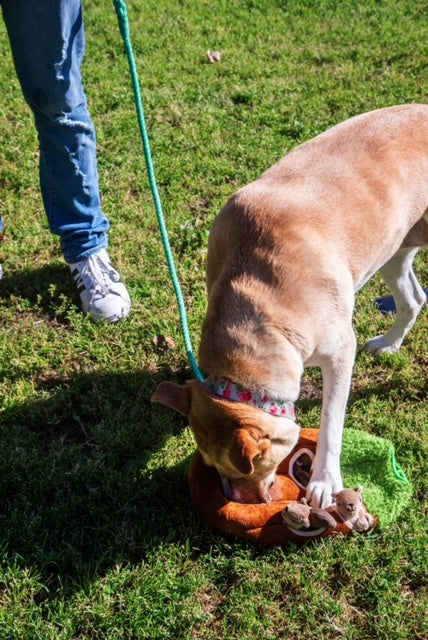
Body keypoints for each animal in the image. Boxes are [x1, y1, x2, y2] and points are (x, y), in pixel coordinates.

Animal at [153, 104, 428, 510]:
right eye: (209, 464)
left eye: (249, 467)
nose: (236, 500)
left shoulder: (340, 351)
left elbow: (331, 421)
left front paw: (325, 481)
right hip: (394, 250)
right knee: (413, 298)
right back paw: (389, 344)